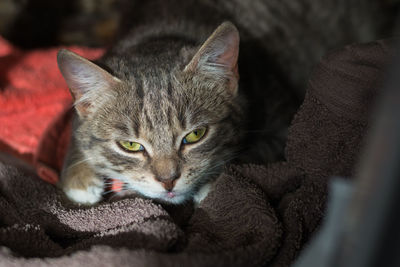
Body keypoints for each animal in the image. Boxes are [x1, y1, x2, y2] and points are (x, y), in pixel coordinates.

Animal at [57, 0, 384, 205]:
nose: (168, 180)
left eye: (195, 135)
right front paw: (78, 176)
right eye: (130, 145)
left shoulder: (283, 121)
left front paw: (214, 184)